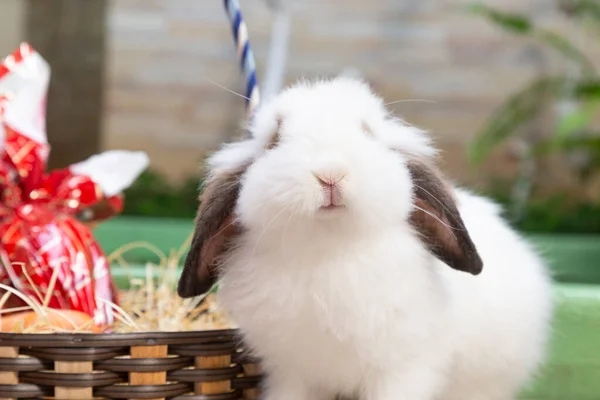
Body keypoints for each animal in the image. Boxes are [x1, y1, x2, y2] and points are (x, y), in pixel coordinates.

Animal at [178, 78, 552, 400]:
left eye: (368, 132)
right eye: (275, 139)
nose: (330, 174)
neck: (328, 251)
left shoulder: (404, 370)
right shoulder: (291, 373)